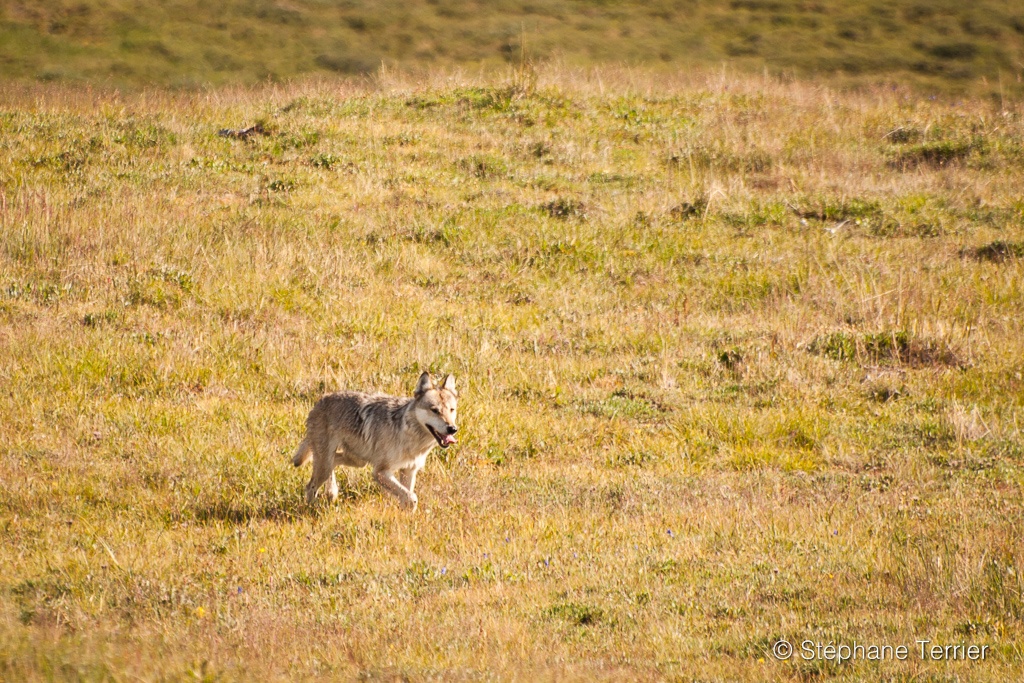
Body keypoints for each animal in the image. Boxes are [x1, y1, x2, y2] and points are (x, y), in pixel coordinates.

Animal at [292, 372, 458, 509]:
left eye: (451, 410)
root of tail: (319, 402)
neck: (409, 435)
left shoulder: (409, 470)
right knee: (310, 486)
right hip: (326, 466)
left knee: (335, 461)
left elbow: (407, 496)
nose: (452, 429)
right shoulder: (380, 472)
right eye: (434, 410)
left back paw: (332, 493)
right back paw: (311, 508)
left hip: (357, 462)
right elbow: (411, 497)